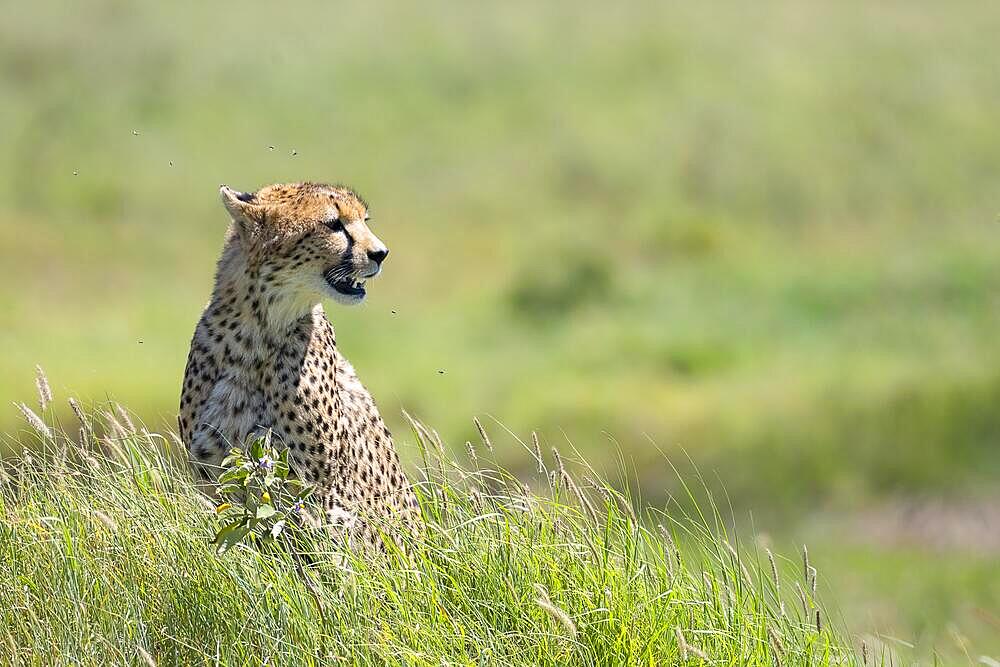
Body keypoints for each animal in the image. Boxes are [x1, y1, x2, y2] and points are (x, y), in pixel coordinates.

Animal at [178, 181, 416, 548]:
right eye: (334, 224)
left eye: (364, 220)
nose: (381, 253)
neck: (260, 329)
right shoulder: (216, 477)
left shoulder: (319, 490)